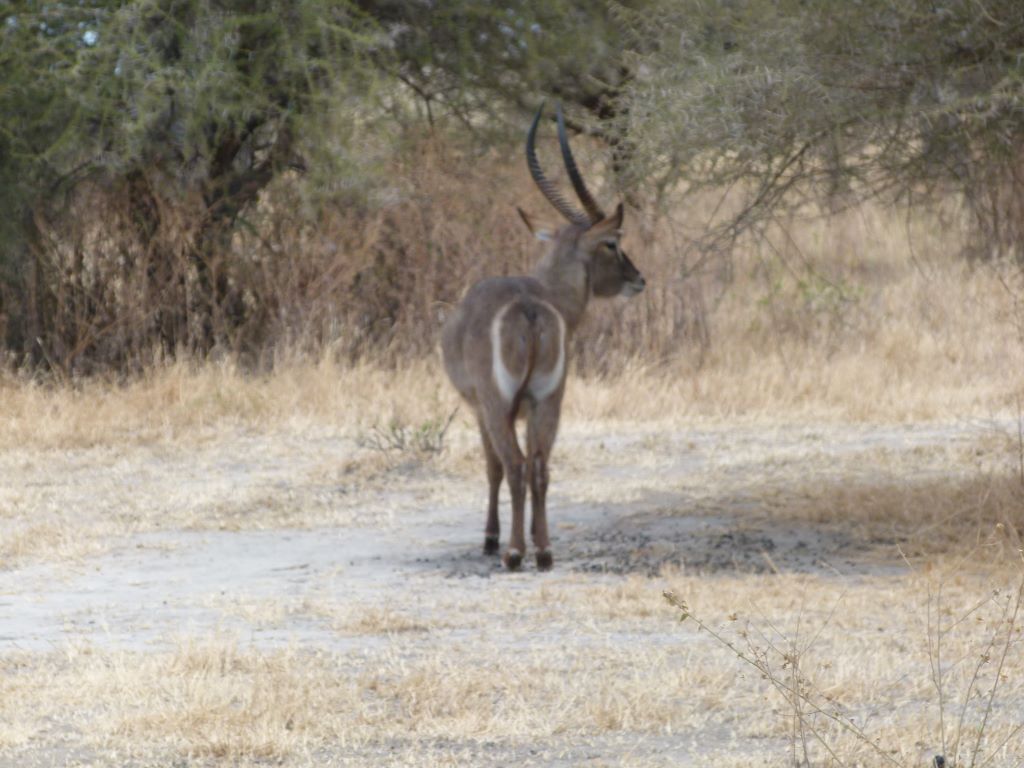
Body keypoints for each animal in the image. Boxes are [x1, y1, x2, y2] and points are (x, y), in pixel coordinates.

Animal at [441, 103, 646, 572]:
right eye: (612, 243)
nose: (639, 278)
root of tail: (527, 307)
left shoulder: (480, 407)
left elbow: (493, 468)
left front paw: (492, 539)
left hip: (502, 403)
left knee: (515, 465)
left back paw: (515, 552)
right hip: (548, 398)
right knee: (539, 465)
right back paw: (545, 550)